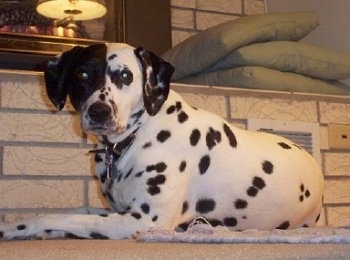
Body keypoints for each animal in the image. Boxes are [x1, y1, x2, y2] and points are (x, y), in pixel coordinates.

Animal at [0, 42, 324, 240]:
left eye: (125, 76)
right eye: (82, 74)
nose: (99, 112)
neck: (135, 137)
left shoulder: (143, 220)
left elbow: (58, 218)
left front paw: (16, 227)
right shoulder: (118, 211)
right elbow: (73, 214)